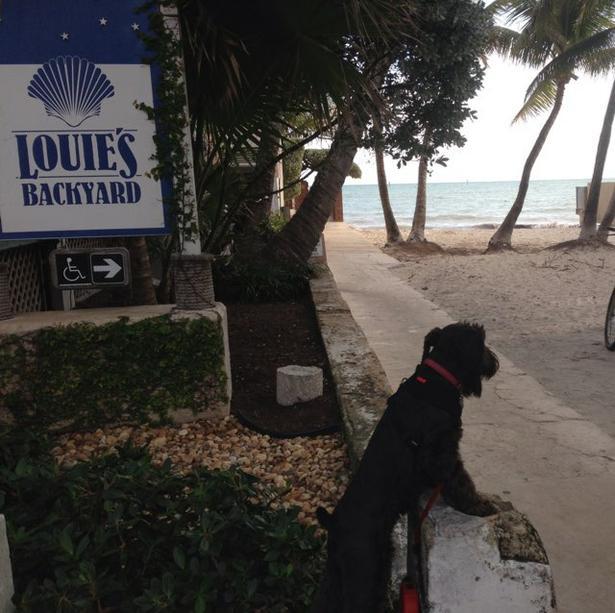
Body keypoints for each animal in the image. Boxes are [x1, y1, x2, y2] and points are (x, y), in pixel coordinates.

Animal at [312, 322, 500, 608]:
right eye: (481, 341)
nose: (496, 362)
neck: (438, 377)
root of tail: (333, 523)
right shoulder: (441, 452)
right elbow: (460, 480)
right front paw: (478, 505)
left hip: (344, 570)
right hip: (363, 570)